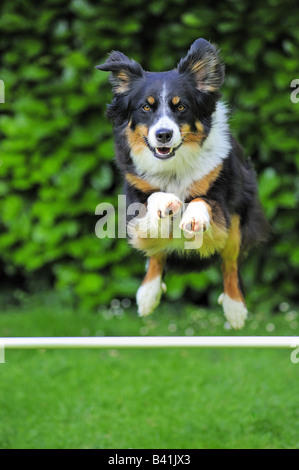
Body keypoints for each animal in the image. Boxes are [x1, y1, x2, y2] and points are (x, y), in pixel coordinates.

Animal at [96, 38, 270, 328]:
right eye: (146, 107)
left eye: (181, 107)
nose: (164, 135)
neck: (173, 164)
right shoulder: (134, 195)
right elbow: (153, 201)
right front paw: (167, 200)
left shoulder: (222, 200)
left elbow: (203, 201)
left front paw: (194, 217)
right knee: (155, 249)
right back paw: (148, 294)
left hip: (240, 214)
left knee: (230, 260)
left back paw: (235, 309)